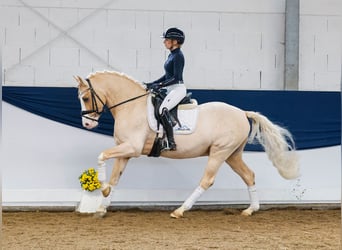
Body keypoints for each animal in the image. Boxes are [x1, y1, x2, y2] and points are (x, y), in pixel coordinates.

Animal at [75, 71, 300, 219]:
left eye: (85, 98)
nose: (87, 125)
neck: (131, 106)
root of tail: (242, 113)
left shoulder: (132, 148)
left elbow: (102, 155)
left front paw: (101, 188)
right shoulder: (125, 151)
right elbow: (115, 178)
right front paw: (102, 205)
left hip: (219, 152)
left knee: (207, 180)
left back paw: (180, 210)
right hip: (232, 154)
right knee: (249, 175)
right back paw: (250, 210)